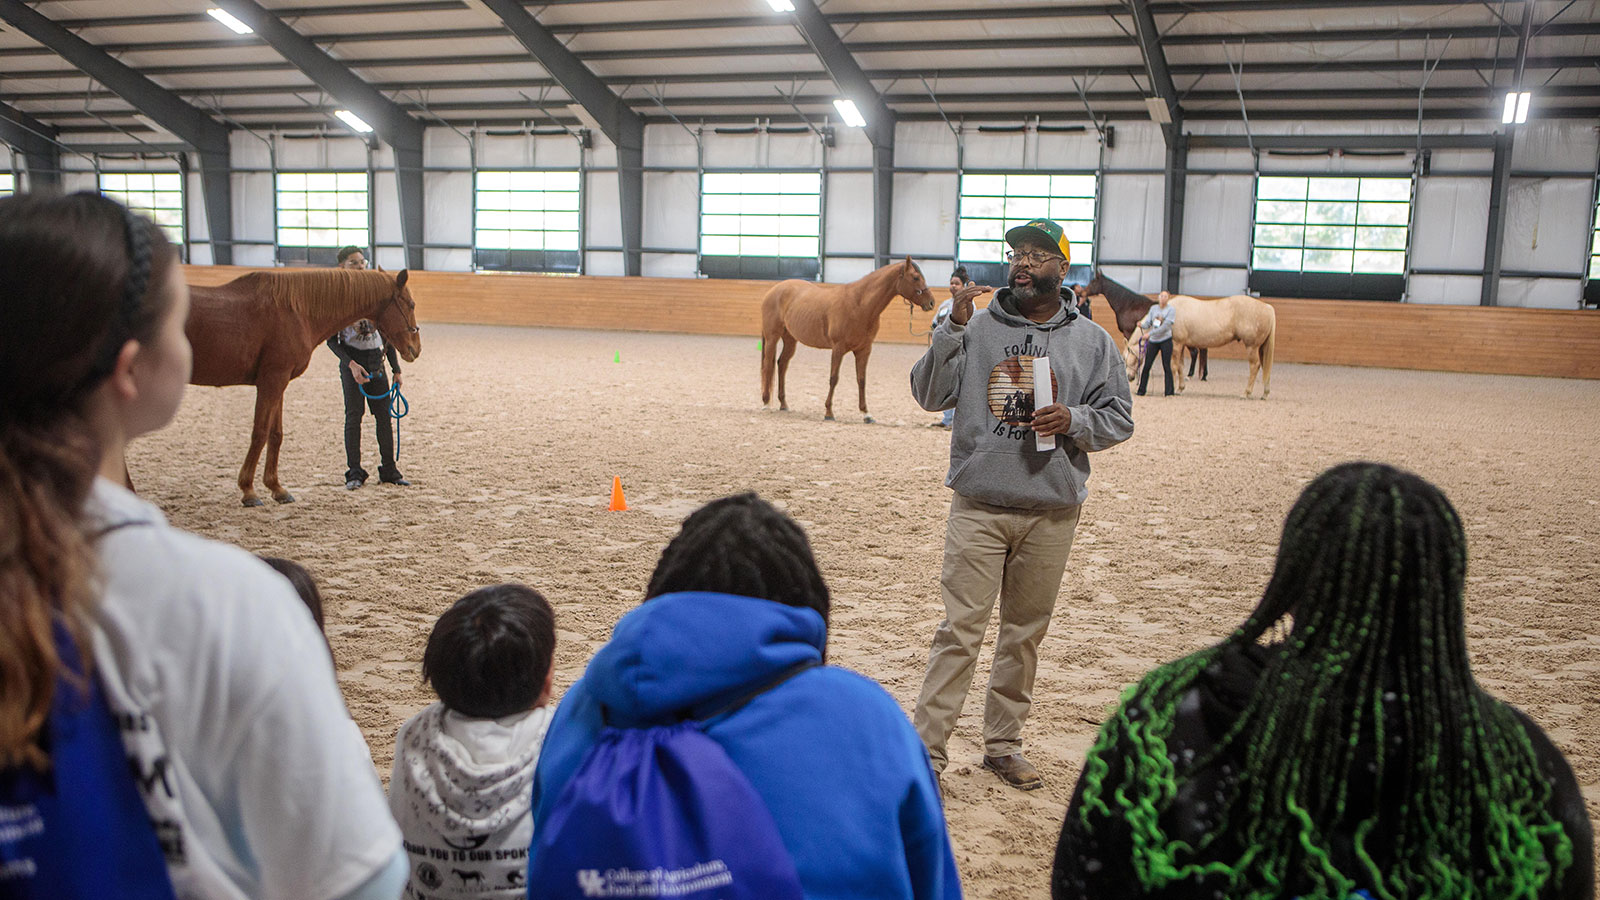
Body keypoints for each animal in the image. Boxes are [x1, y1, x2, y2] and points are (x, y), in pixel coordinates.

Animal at [184, 265, 422, 506]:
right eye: (411, 304)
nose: (416, 348)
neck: (296, 312)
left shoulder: (278, 383)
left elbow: (276, 434)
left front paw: (277, 489)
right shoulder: (272, 381)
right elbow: (259, 433)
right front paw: (248, 491)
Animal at [761, 254, 934, 419]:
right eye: (916, 277)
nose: (931, 302)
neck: (859, 305)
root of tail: (773, 290)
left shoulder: (864, 350)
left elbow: (861, 380)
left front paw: (866, 414)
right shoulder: (838, 348)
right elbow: (834, 378)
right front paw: (829, 413)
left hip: (790, 339)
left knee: (782, 364)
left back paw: (783, 404)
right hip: (772, 338)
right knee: (768, 365)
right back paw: (766, 403)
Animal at [1075, 277, 1209, 381]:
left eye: (1093, 282)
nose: (1082, 293)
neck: (1128, 304)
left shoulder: (1129, 332)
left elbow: (1131, 349)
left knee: (1195, 353)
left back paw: (1190, 375)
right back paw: (1203, 375)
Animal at [1120, 291, 1280, 395]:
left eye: (1126, 357)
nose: (1129, 377)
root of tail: (1267, 307)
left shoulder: (1177, 344)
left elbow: (1173, 366)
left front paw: (1173, 389)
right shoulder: (1181, 345)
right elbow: (1180, 367)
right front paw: (1180, 388)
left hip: (1252, 346)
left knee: (1255, 366)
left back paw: (1246, 393)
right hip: (1261, 347)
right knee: (1265, 366)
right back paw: (1265, 393)